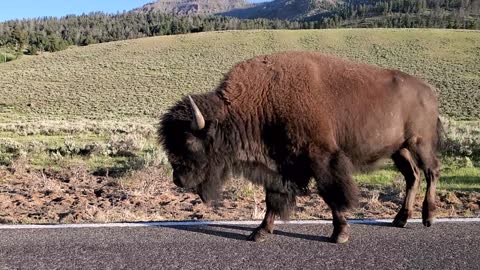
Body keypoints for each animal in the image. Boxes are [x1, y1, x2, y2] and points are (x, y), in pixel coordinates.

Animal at [160, 51, 442, 244]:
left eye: (188, 141)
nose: (178, 179)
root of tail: (428, 90)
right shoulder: (278, 165)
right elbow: (273, 198)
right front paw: (260, 232)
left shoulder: (322, 158)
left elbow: (332, 194)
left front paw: (340, 234)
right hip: (399, 150)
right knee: (412, 176)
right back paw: (400, 219)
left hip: (419, 143)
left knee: (431, 171)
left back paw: (428, 218)